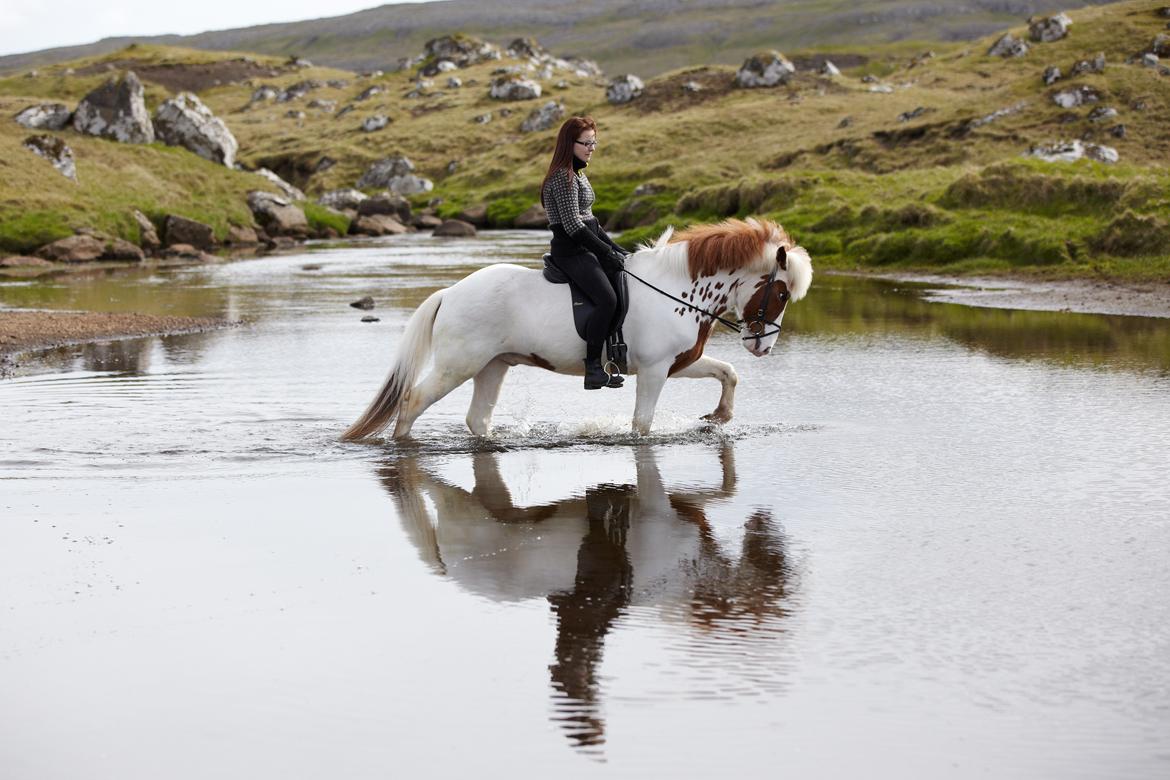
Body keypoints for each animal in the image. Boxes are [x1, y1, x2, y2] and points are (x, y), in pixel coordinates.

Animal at [341, 216, 814, 442]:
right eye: (781, 293)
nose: (762, 346)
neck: (678, 288)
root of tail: (449, 292)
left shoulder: (677, 363)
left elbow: (727, 373)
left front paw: (718, 416)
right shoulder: (656, 369)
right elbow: (642, 425)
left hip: (493, 366)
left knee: (477, 419)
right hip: (458, 365)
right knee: (412, 400)